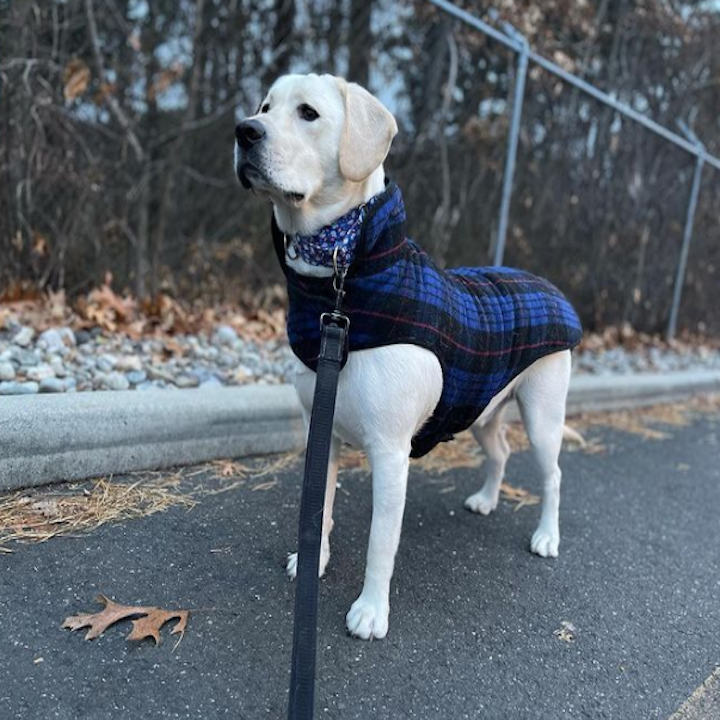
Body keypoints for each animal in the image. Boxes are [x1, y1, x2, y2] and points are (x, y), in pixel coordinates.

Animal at [233, 73, 584, 640]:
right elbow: (318, 508)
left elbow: (381, 542)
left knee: (551, 475)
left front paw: (371, 610)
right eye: (264, 107)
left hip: (543, 415)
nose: (244, 131)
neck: (341, 281)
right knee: (500, 452)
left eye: (308, 113)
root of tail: (546, 284)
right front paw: (312, 561)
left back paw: (547, 536)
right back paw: (487, 500)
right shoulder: (320, 434)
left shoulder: (391, 455)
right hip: (482, 409)